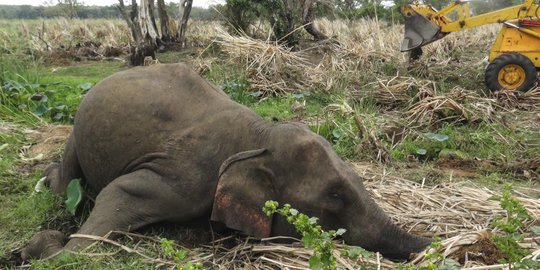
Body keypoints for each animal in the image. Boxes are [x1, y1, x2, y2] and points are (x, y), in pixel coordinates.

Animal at [22, 63, 430, 262]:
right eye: (334, 199)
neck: (260, 135)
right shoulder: (189, 177)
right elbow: (120, 192)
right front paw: (45, 251)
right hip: (77, 130)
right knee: (69, 180)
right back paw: (47, 181)